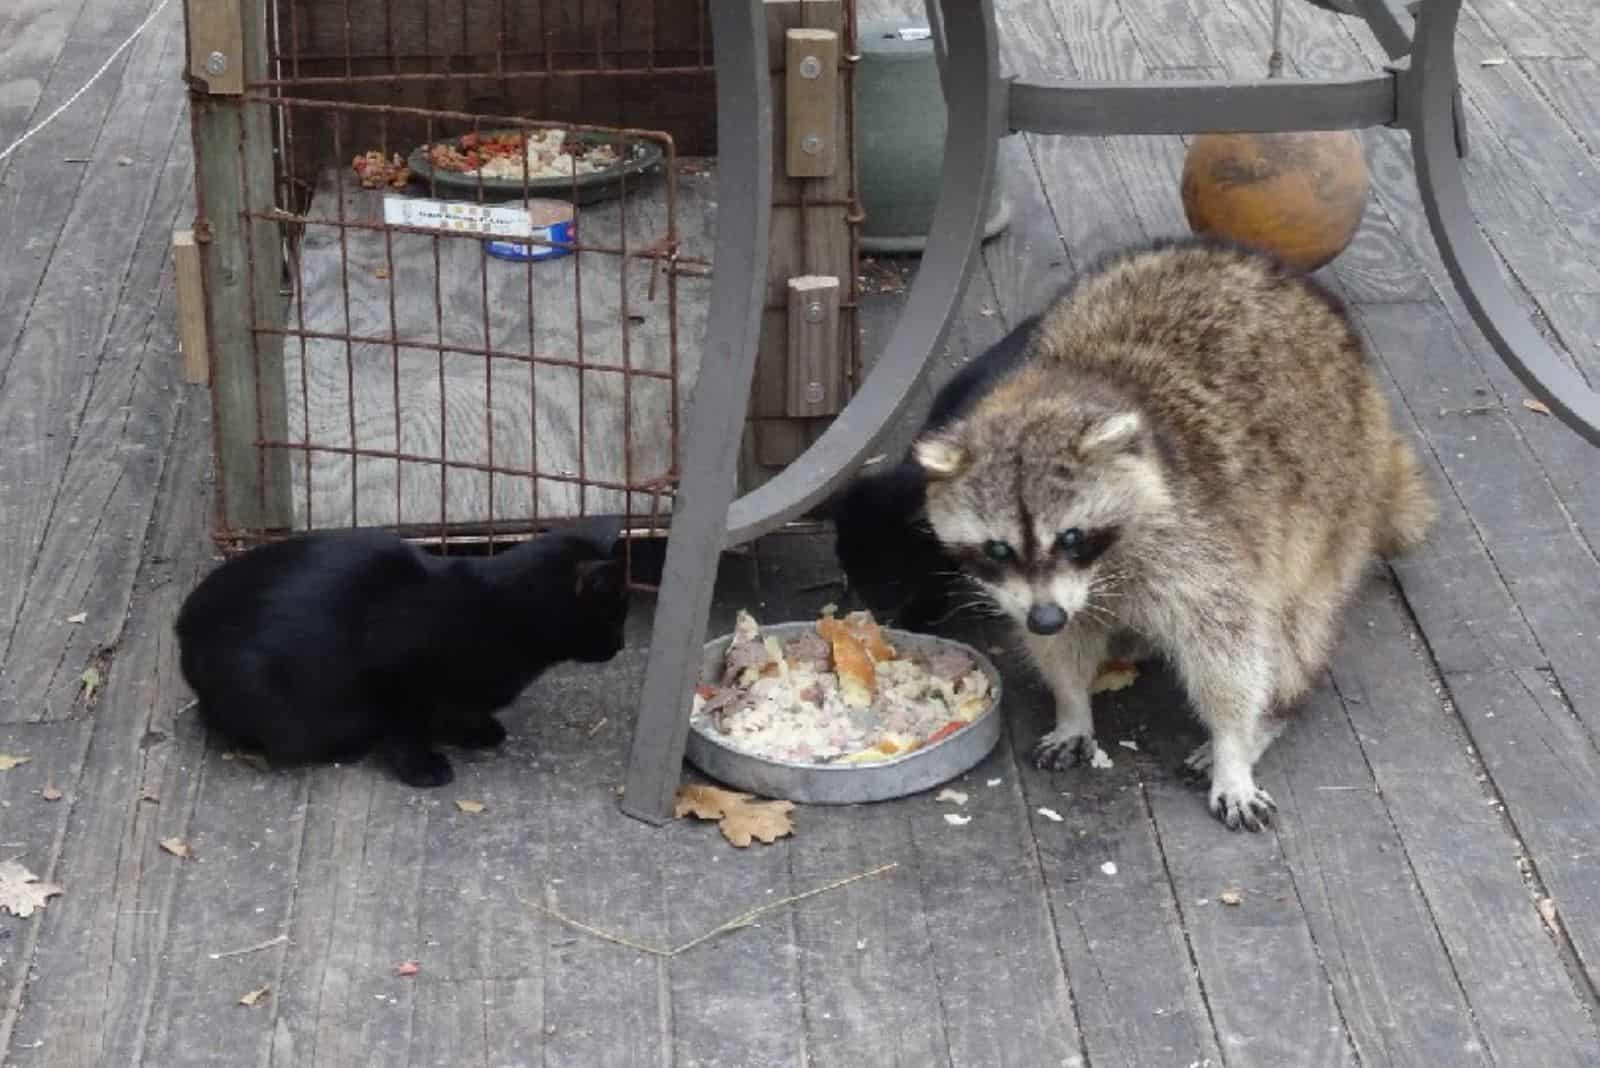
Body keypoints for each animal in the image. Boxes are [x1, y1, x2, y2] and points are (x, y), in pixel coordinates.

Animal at [175, 521, 624, 789]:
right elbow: (406, 728)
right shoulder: (396, 679)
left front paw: (475, 729)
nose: (620, 646)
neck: (499, 609)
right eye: (613, 617)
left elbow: (453, 710)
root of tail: (183, 625)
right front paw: (423, 766)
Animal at [915, 238, 1440, 831]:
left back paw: (1272, 712)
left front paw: (1234, 747)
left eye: (1070, 537)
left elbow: (1229, 650)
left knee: (1293, 626)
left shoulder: (1199, 540)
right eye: (999, 548)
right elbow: (1067, 642)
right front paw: (1072, 703)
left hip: (1335, 498)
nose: (1045, 617)